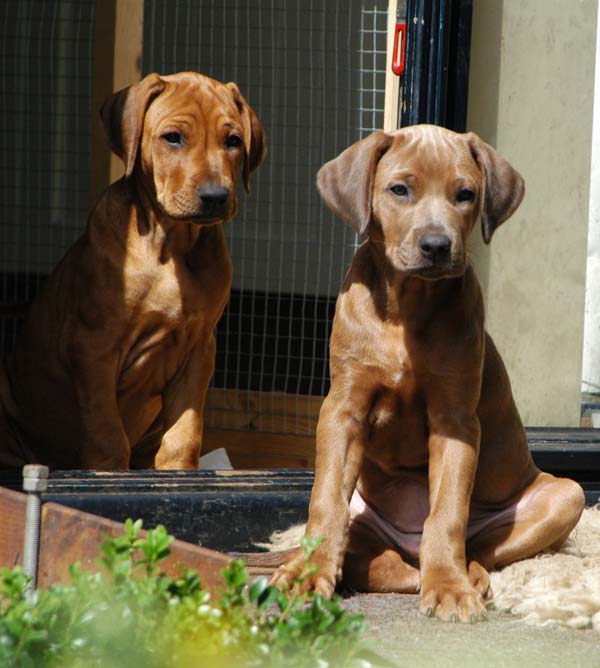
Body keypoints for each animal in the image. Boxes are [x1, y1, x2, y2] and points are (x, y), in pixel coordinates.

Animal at [0, 72, 264, 470]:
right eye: (173, 137)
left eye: (232, 141)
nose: (216, 196)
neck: (171, 246)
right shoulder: (94, 346)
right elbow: (107, 434)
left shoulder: (199, 349)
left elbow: (184, 434)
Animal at [274, 124, 584, 620]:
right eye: (400, 190)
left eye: (466, 194)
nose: (437, 246)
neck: (407, 305)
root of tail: (407, 543)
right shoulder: (342, 410)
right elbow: (326, 503)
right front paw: (307, 573)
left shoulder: (455, 421)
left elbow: (448, 513)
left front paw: (450, 587)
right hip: (367, 516)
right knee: (368, 555)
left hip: (566, 495)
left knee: (476, 548)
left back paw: (463, 576)